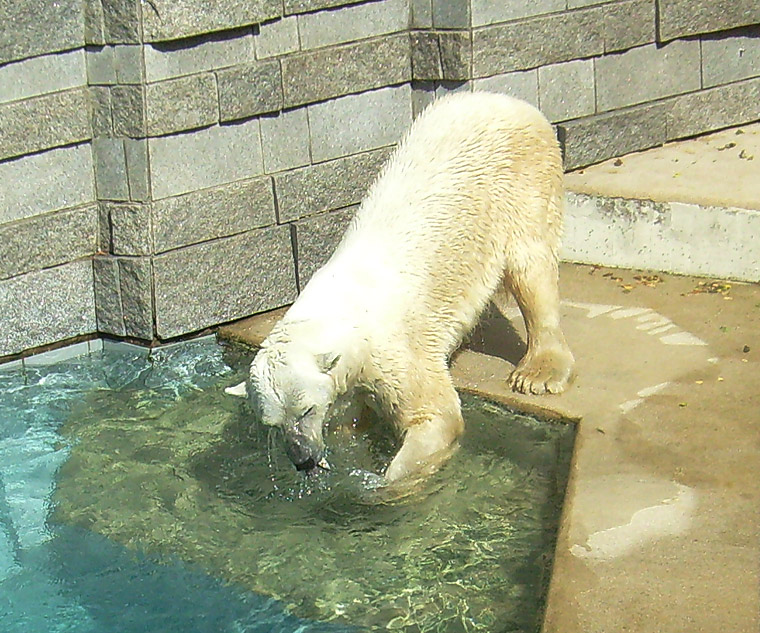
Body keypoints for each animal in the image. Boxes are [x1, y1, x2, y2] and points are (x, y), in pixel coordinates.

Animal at [229, 91, 572, 482]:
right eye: (272, 423)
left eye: (306, 410)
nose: (302, 458)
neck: (343, 304)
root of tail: (510, 102)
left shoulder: (392, 349)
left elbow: (436, 415)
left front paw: (382, 481)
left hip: (524, 185)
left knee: (531, 268)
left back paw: (538, 372)